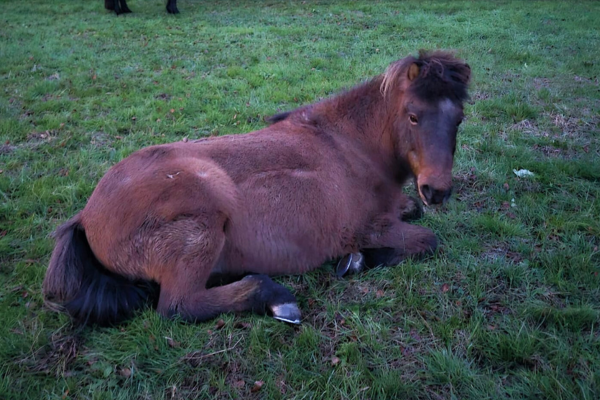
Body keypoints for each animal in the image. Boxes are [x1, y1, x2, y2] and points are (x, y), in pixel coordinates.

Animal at [44, 50, 472, 324]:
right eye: (413, 116)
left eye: (460, 119)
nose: (437, 190)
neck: (349, 145)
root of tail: (86, 216)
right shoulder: (365, 226)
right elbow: (427, 240)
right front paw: (357, 259)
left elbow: (411, 210)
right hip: (205, 216)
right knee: (179, 307)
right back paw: (274, 299)